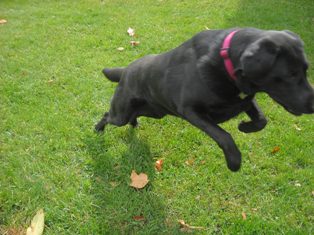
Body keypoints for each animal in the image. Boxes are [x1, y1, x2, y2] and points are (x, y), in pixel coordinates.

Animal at [95, 28, 314, 171]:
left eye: (305, 69)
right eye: (290, 75)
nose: (313, 105)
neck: (226, 62)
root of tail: (125, 70)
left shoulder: (245, 99)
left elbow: (261, 120)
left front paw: (245, 126)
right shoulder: (191, 110)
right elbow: (224, 136)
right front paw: (234, 161)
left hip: (154, 110)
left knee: (135, 115)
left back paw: (134, 123)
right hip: (121, 113)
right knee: (108, 115)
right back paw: (98, 129)